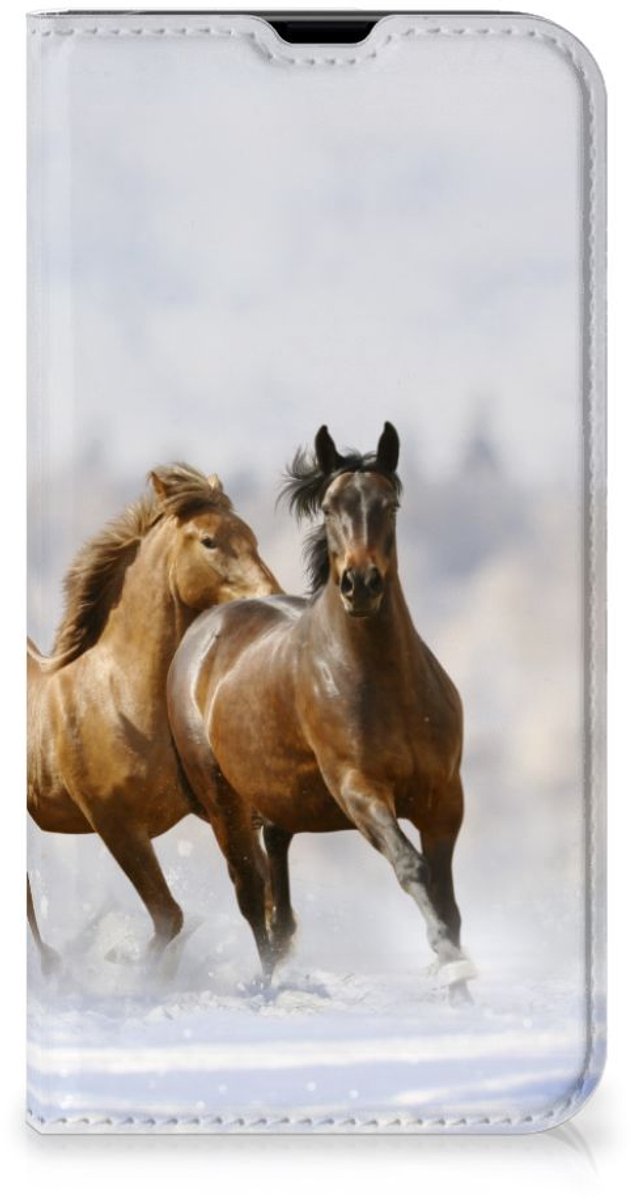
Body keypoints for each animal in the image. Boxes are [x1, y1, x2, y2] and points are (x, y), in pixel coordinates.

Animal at [28, 463, 279, 967]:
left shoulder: (220, 809)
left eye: (251, 536)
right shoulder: (116, 825)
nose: (271, 596)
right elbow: (170, 918)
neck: (120, 697)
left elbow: (256, 898)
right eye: (209, 541)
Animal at [167, 425, 475, 1002]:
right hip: (223, 803)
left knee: (277, 889)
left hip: (279, 801)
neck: (386, 684)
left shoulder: (444, 797)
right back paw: (269, 987)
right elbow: (413, 868)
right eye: (331, 507)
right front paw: (451, 966)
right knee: (251, 893)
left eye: (389, 504)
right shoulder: (359, 790)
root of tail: (204, 630)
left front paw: (462, 988)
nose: (361, 584)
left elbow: (447, 897)